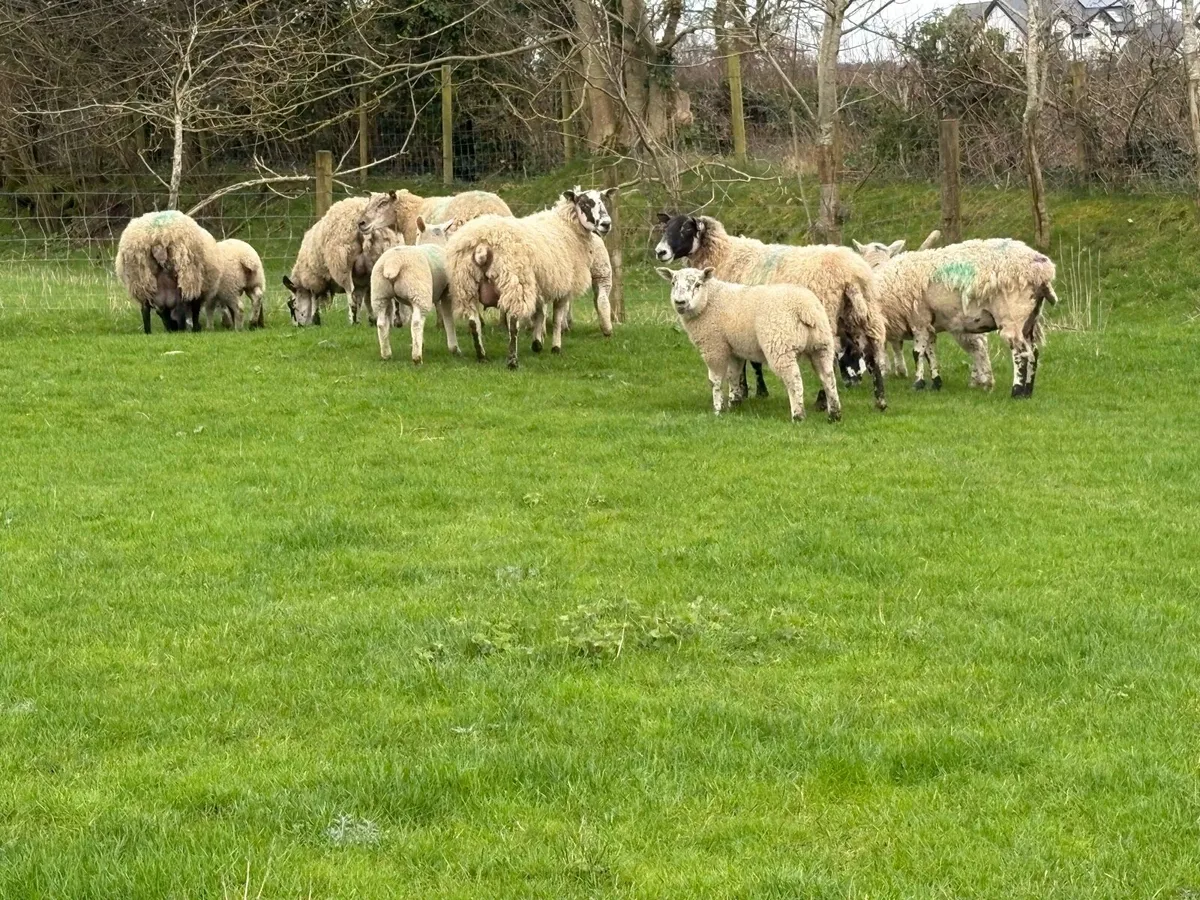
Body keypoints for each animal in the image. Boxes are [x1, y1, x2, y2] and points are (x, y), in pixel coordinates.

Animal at [370, 217, 461, 363]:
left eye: (417, 233)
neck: (433, 242)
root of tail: (392, 263)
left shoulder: (412, 299)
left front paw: (420, 343)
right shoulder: (446, 293)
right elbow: (448, 319)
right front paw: (454, 348)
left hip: (381, 293)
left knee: (382, 323)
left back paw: (386, 354)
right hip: (419, 292)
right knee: (417, 323)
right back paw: (417, 358)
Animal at [444, 187, 615, 369]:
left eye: (603, 200)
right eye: (584, 204)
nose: (606, 224)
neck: (567, 226)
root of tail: (481, 246)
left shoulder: (540, 283)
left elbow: (539, 312)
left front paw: (537, 343)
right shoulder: (563, 286)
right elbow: (556, 318)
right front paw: (555, 347)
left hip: (465, 284)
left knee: (473, 322)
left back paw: (482, 356)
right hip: (515, 280)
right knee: (513, 322)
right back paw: (512, 361)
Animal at [656, 266, 841, 422]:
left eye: (697, 284)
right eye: (673, 283)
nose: (680, 302)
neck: (710, 301)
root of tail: (806, 309)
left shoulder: (714, 347)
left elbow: (715, 380)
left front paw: (718, 409)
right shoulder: (734, 349)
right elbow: (734, 375)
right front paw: (734, 402)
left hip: (781, 345)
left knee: (794, 380)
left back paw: (798, 415)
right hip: (822, 345)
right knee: (828, 377)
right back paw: (834, 414)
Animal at [863, 238, 1057, 397]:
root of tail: (1042, 271)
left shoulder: (919, 318)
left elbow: (917, 353)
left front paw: (918, 383)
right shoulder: (929, 323)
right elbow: (930, 352)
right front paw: (936, 383)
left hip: (1012, 315)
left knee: (1020, 352)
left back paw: (1016, 391)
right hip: (1030, 318)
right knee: (1033, 352)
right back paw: (1027, 391)